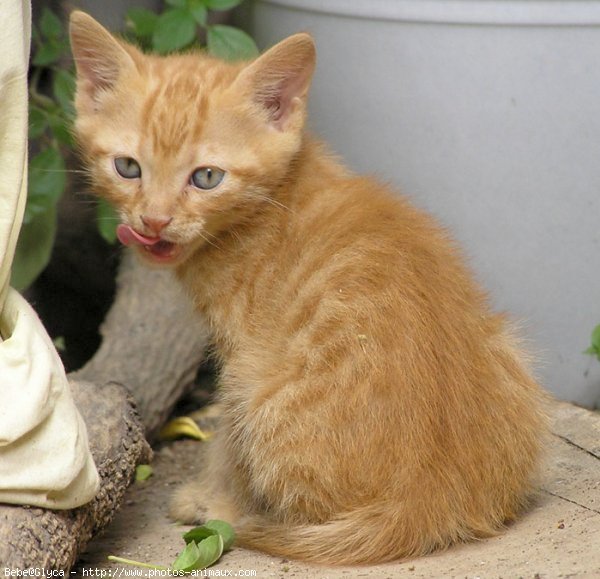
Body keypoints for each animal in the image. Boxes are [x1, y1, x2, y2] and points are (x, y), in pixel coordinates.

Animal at [70, 12, 548, 568]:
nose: (154, 220)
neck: (277, 199)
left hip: (260, 390)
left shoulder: (240, 355)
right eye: (128, 168)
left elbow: (227, 443)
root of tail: (425, 501)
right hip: (507, 347)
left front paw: (213, 497)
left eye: (206, 177)